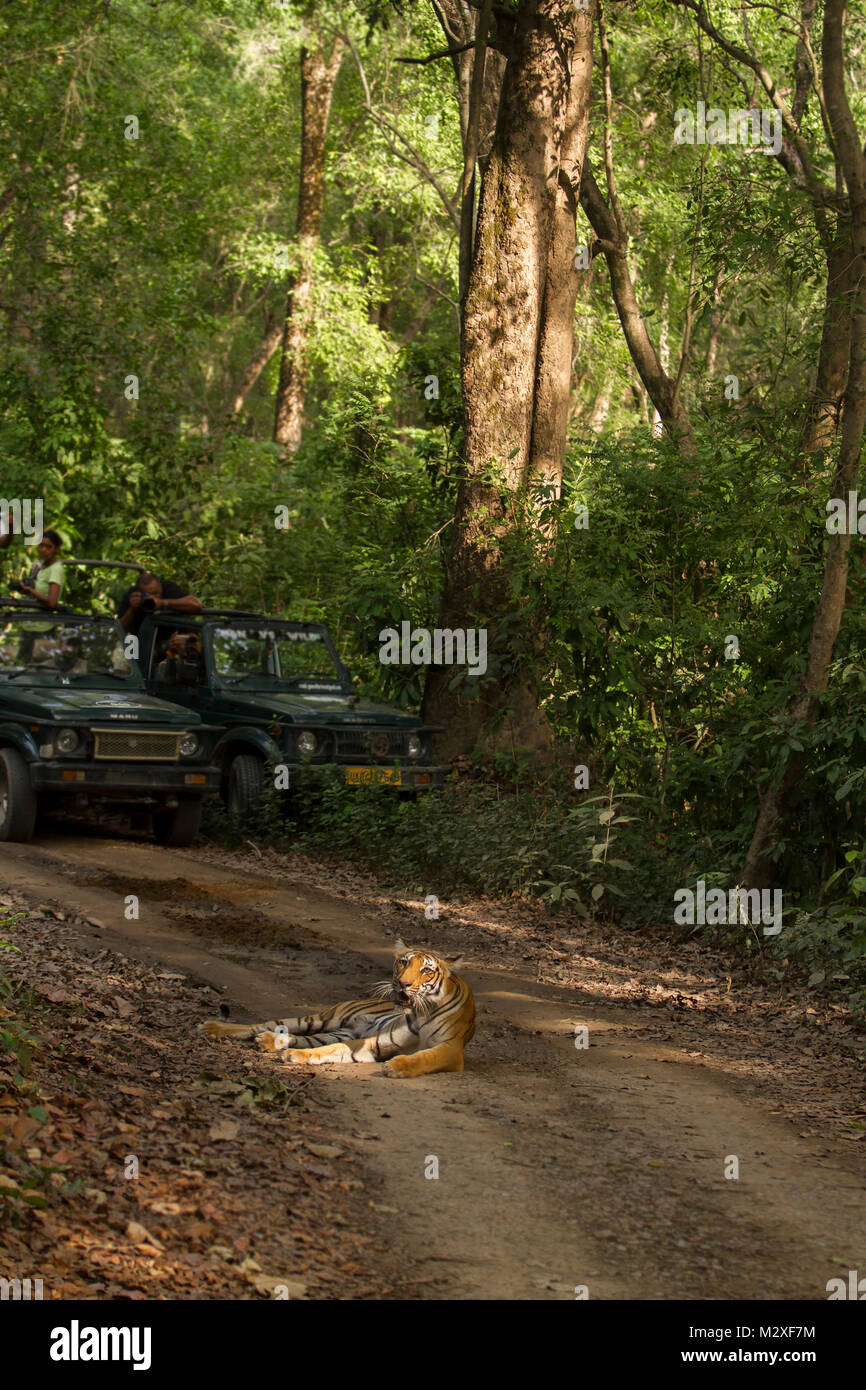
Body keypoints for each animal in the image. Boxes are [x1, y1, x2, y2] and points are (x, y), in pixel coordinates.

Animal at [200, 939, 478, 1078]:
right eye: (403, 963)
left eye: (426, 970)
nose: (402, 983)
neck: (422, 1010)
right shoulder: (376, 1042)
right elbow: (332, 1050)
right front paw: (295, 1057)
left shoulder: (450, 1049)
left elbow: (425, 1057)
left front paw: (396, 1067)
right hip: (323, 1018)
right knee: (265, 1024)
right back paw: (213, 1028)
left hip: (335, 1030)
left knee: (302, 1038)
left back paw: (269, 1042)